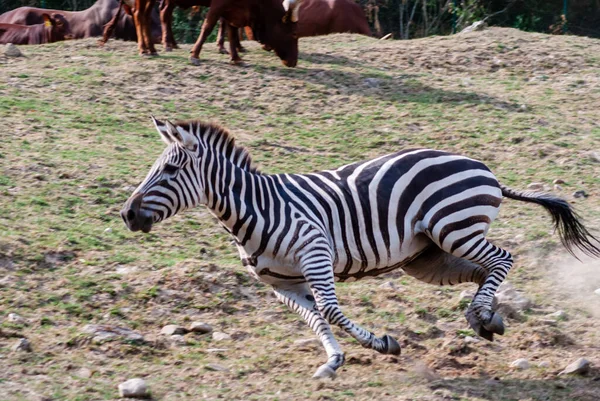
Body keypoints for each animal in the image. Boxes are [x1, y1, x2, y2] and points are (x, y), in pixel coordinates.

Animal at [119, 116, 596, 378]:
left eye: (169, 171)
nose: (127, 215)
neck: (256, 208)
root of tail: (481, 165)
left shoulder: (315, 252)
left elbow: (330, 310)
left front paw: (383, 344)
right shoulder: (282, 284)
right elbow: (315, 319)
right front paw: (332, 361)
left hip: (453, 228)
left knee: (502, 257)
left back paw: (480, 314)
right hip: (426, 256)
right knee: (484, 270)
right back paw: (486, 318)